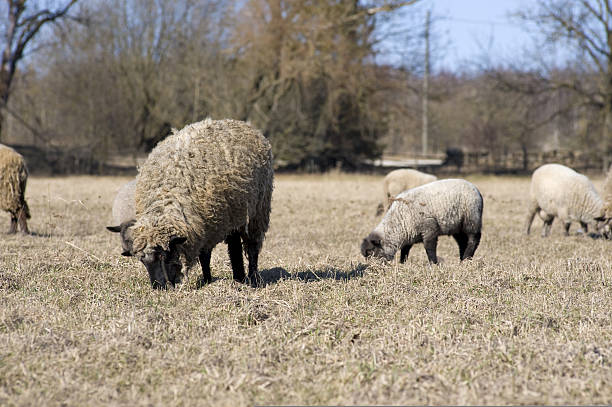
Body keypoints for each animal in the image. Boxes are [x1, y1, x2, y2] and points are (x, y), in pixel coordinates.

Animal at [130, 118, 274, 290]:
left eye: (164, 256)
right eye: (143, 261)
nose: (159, 287)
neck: (167, 196)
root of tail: (243, 124)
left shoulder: (208, 225)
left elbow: (206, 256)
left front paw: (207, 281)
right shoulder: (204, 229)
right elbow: (205, 257)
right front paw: (206, 281)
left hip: (257, 212)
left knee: (252, 248)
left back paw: (252, 279)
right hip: (234, 212)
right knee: (234, 246)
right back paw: (239, 277)